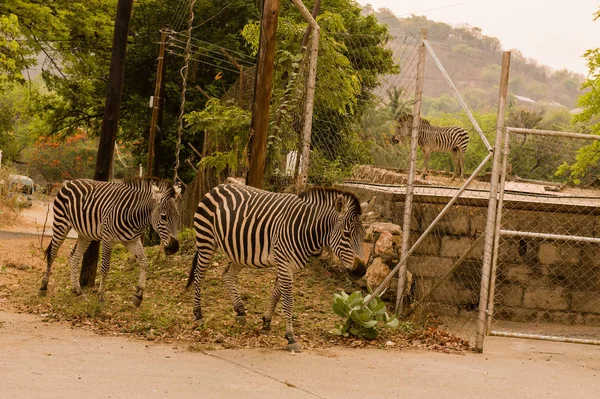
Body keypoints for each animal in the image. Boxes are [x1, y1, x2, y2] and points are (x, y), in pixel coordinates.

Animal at [39, 178, 180, 306]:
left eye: (177, 216)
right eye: (163, 217)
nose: (174, 247)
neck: (134, 215)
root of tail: (70, 181)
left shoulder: (132, 241)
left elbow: (144, 262)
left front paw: (139, 295)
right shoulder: (107, 239)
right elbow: (105, 267)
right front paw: (101, 296)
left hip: (85, 234)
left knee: (74, 258)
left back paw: (78, 292)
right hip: (61, 224)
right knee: (52, 255)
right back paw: (43, 287)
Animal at [188, 184, 368, 354]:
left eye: (364, 236)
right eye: (346, 234)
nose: (361, 271)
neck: (305, 228)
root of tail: (217, 187)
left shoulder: (289, 265)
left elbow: (276, 294)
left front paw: (266, 323)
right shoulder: (284, 262)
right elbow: (288, 301)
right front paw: (291, 337)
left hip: (238, 251)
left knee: (227, 275)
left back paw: (240, 311)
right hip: (206, 241)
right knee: (199, 276)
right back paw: (198, 315)